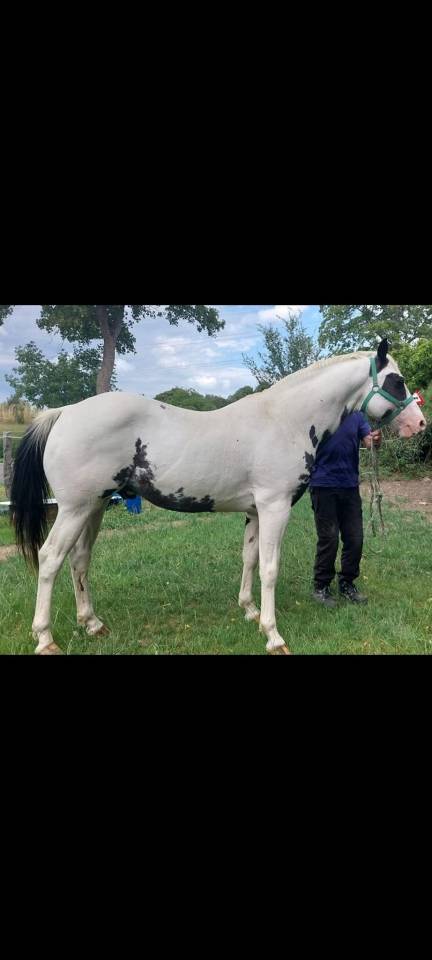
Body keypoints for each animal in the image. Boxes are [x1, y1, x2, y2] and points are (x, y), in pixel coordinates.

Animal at [11, 338, 427, 655]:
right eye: (397, 381)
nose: (419, 424)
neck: (284, 420)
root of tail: (65, 412)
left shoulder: (256, 511)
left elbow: (250, 559)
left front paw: (250, 613)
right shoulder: (274, 507)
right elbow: (270, 567)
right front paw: (274, 636)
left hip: (94, 507)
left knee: (79, 560)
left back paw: (92, 624)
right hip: (74, 509)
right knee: (50, 559)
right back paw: (45, 639)